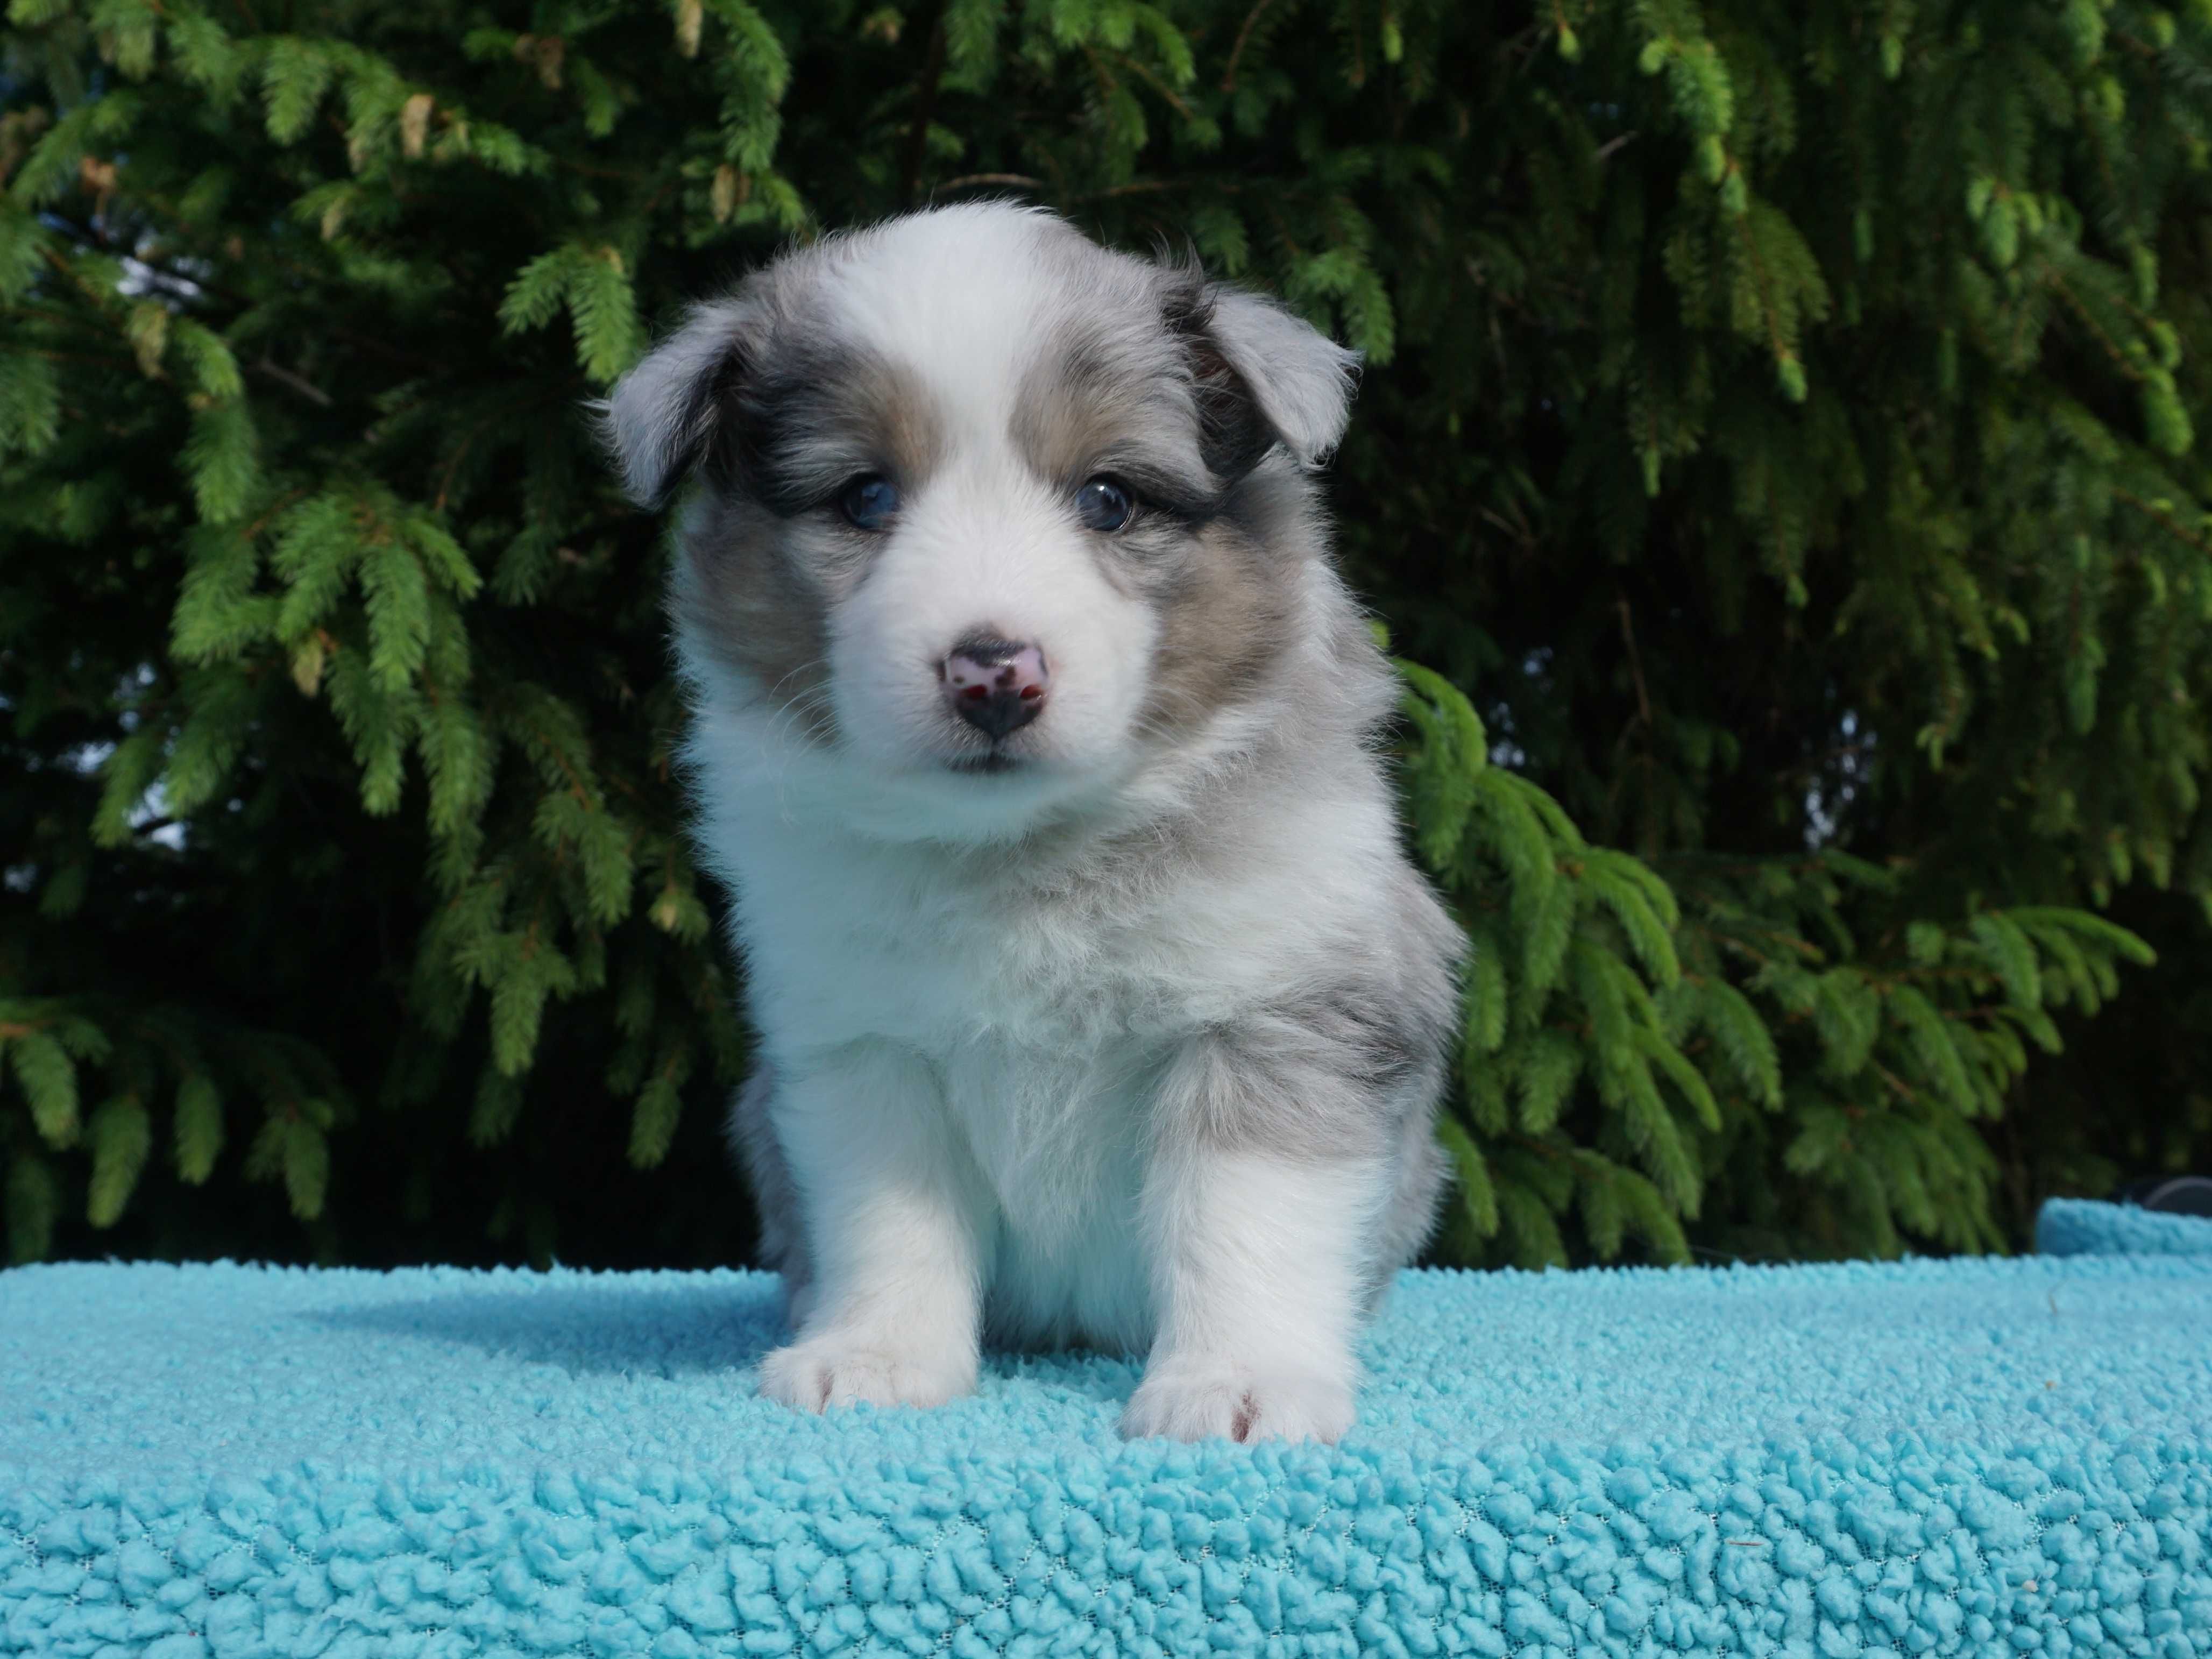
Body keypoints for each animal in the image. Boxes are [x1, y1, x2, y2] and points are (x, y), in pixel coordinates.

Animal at [606, 201, 1469, 1442]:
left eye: (1108, 498)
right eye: (865, 497)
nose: (992, 674)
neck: (1024, 851)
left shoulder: (1279, 1009)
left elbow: (1243, 1213)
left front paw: (1237, 1383)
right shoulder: (860, 1045)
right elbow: (889, 1218)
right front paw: (876, 1356)